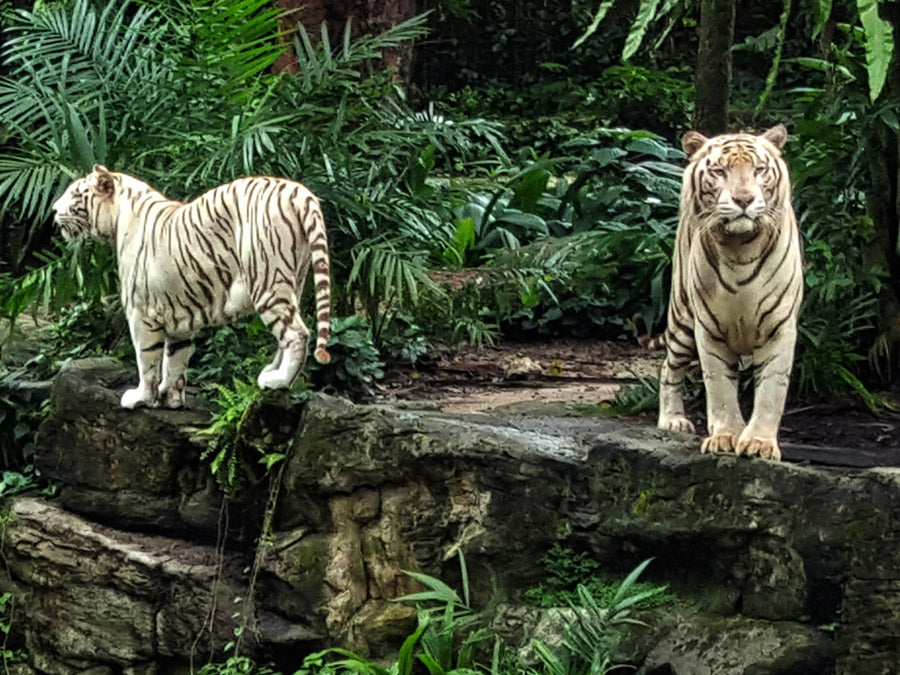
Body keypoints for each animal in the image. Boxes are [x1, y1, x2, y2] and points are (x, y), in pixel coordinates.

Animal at [51, 165, 330, 406]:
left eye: (75, 193)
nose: (53, 209)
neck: (119, 219)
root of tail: (299, 191)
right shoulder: (178, 310)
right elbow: (175, 358)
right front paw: (170, 398)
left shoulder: (140, 311)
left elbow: (147, 359)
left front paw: (141, 397)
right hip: (295, 279)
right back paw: (270, 373)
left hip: (267, 279)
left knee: (296, 333)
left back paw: (279, 381)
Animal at [660, 124, 800, 462]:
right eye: (720, 171)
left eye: (759, 170)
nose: (744, 199)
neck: (741, 248)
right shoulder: (708, 330)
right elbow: (720, 389)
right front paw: (726, 437)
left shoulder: (779, 328)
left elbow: (771, 390)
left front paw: (759, 443)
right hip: (682, 319)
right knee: (669, 365)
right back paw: (672, 419)